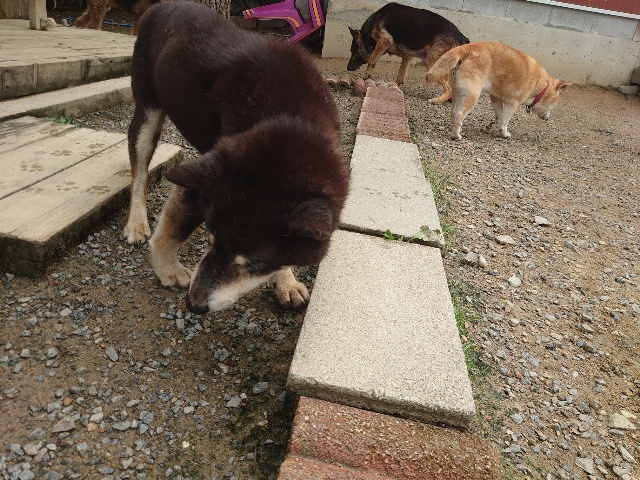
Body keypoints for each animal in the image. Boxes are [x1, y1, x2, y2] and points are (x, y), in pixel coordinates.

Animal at [124, 1, 349, 314]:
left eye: (254, 264)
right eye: (211, 237)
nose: (194, 305)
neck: (294, 120)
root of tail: (159, 6)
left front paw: (286, 282)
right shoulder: (204, 179)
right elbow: (171, 233)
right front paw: (168, 269)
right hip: (148, 110)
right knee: (140, 171)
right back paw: (136, 222)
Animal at [425, 41, 571, 140]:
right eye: (554, 107)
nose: (547, 119)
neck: (540, 85)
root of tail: (466, 47)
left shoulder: (496, 99)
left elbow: (500, 117)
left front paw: (494, 127)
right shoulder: (512, 103)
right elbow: (505, 121)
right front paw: (504, 134)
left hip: (458, 93)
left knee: (454, 113)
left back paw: (455, 130)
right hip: (472, 95)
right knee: (460, 114)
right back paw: (456, 136)